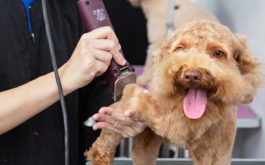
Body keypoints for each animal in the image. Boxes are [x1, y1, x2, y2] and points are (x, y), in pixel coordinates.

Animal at [84, 21, 260, 165]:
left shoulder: (215, 153)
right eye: (180, 49)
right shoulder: (161, 118)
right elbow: (135, 101)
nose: (192, 75)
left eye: (218, 53)